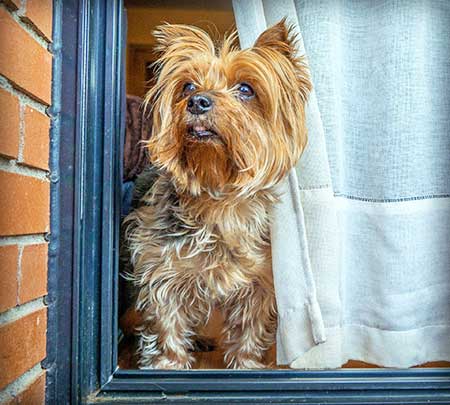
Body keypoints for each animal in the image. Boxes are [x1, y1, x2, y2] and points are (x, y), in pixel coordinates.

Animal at [125, 19, 312, 368]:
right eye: (187, 87)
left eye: (246, 89)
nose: (198, 101)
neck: (218, 197)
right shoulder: (163, 268)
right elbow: (167, 322)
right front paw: (167, 364)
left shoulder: (259, 280)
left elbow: (250, 327)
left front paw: (247, 365)